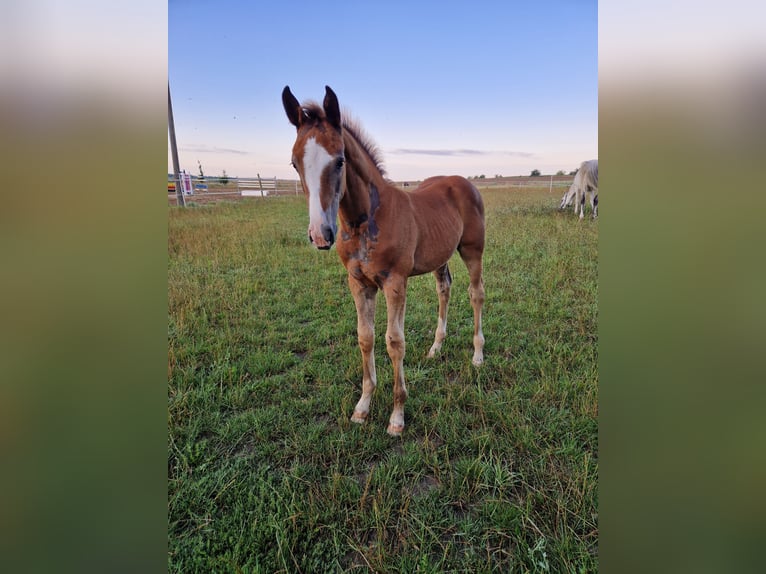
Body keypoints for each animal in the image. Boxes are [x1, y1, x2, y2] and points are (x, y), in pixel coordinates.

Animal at [282, 85, 486, 436]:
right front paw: (363, 407)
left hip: (473, 250)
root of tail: (463, 181)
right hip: (440, 256)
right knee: (444, 289)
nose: (321, 235)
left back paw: (477, 355)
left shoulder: (395, 282)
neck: (365, 221)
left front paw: (397, 416)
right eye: (295, 163)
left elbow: (394, 341)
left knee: (476, 294)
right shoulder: (358, 282)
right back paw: (436, 348)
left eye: (340, 161)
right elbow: (366, 337)